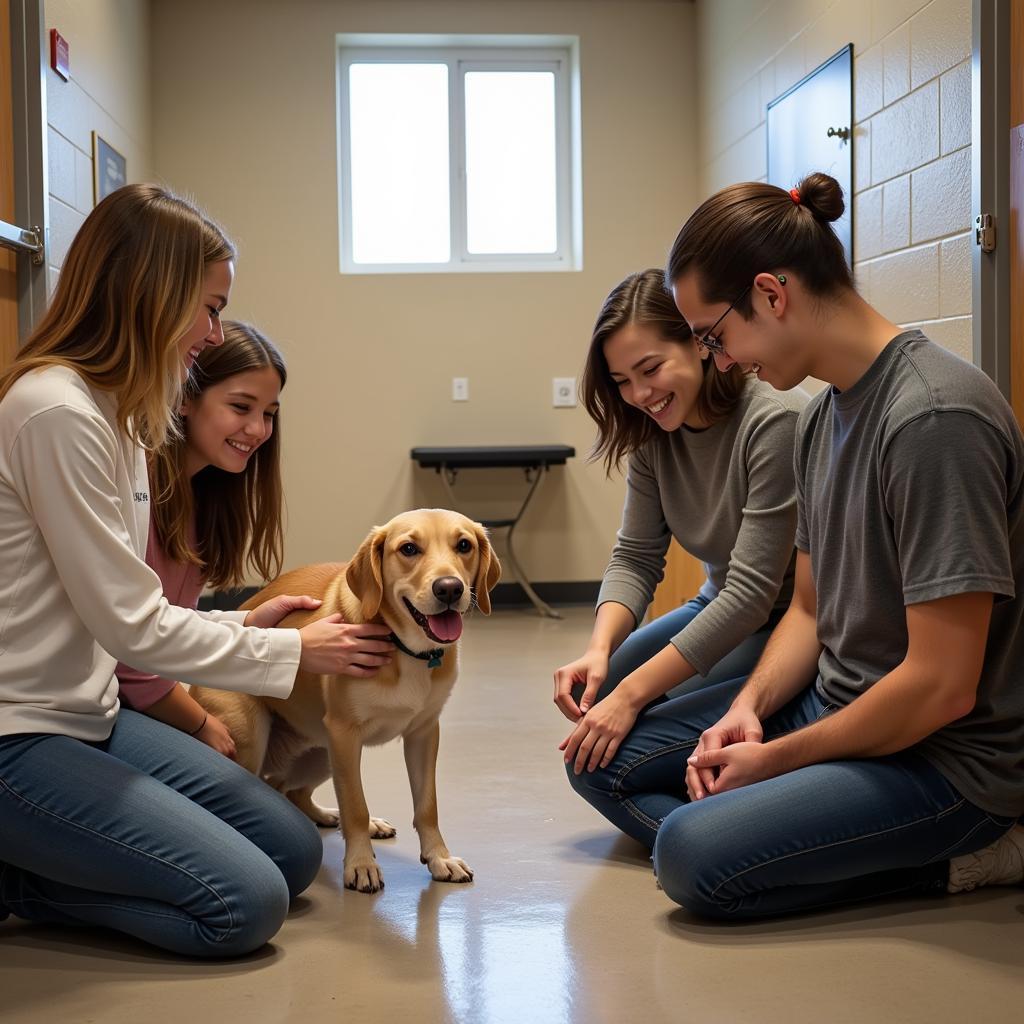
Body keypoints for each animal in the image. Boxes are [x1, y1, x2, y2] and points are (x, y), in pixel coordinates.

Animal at [191, 507, 499, 892]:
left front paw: (439, 858)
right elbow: (355, 804)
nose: (449, 588)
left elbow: (427, 805)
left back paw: (333, 817)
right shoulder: (344, 733)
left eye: (464, 545)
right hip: (254, 739)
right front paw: (361, 864)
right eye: (409, 549)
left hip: (322, 753)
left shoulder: (424, 733)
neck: (406, 648)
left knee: (290, 791)